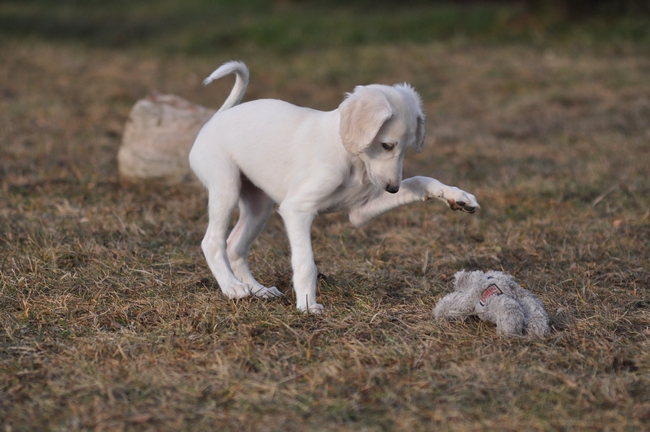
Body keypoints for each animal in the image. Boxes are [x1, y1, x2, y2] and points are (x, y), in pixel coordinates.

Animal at [187, 60, 476, 312]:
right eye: (386, 145)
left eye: (406, 149)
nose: (392, 189)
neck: (351, 158)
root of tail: (218, 117)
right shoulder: (297, 210)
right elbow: (306, 262)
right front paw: (307, 305)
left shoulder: (359, 213)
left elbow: (419, 180)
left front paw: (456, 196)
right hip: (226, 188)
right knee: (212, 242)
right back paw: (232, 287)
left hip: (259, 207)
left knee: (235, 246)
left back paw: (257, 289)